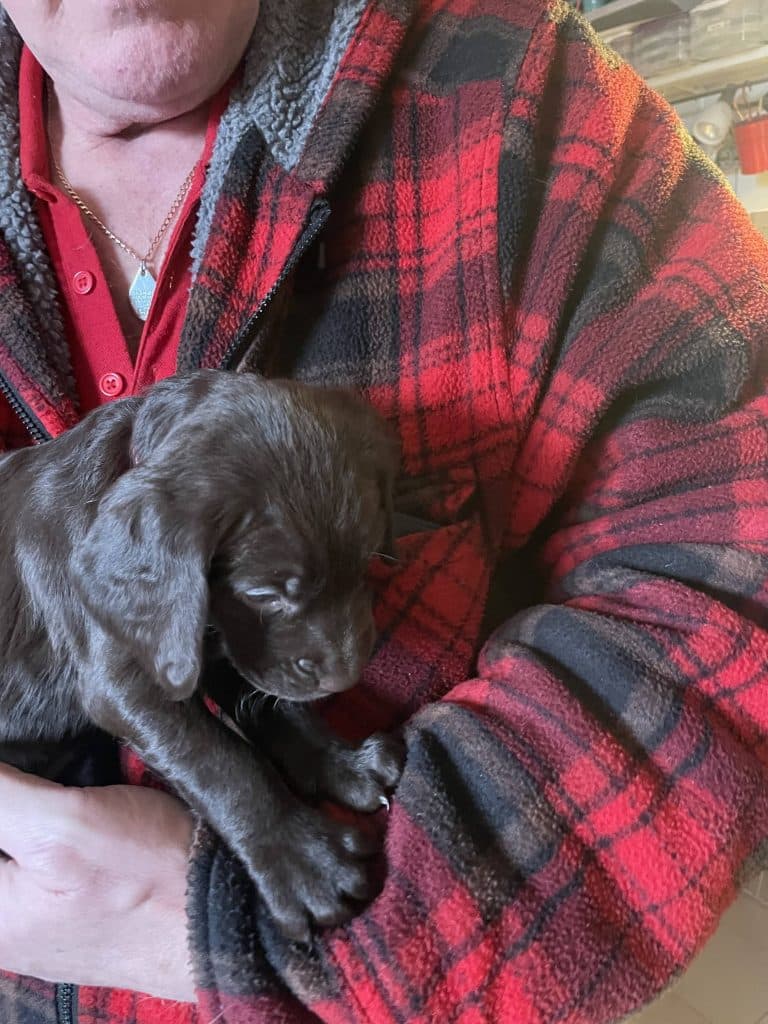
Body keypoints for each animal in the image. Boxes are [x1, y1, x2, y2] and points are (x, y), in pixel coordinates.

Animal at [0, 369, 404, 941]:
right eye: (263, 593)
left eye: (368, 558)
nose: (345, 676)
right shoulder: (129, 680)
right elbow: (220, 761)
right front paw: (304, 863)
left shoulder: (225, 647)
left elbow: (277, 709)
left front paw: (343, 765)